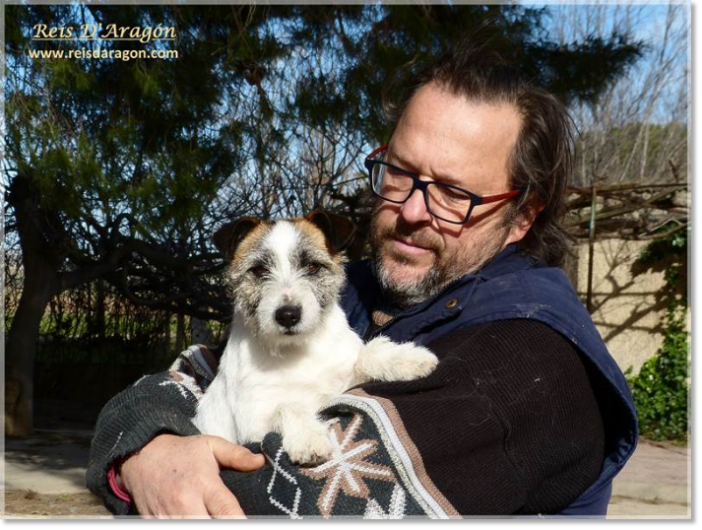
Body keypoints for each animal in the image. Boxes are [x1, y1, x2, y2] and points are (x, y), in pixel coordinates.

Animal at [192, 210, 440, 462]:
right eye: (259, 270)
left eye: (312, 266)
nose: (288, 315)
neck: (298, 349)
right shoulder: (252, 422)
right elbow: (287, 405)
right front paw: (308, 437)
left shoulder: (342, 383)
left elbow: (364, 356)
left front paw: (407, 359)